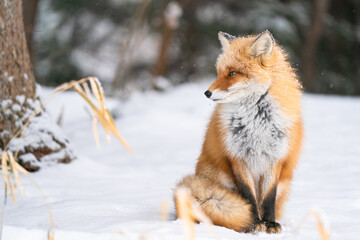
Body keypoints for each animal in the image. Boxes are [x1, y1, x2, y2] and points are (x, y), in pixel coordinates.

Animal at [176, 31, 302, 233]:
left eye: (232, 73)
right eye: (219, 72)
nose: (207, 93)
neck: (257, 121)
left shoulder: (275, 157)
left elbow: (269, 197)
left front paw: (269, 223)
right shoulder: (238, 157)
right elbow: (248, 195)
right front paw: (254, 223)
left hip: (285, 183)